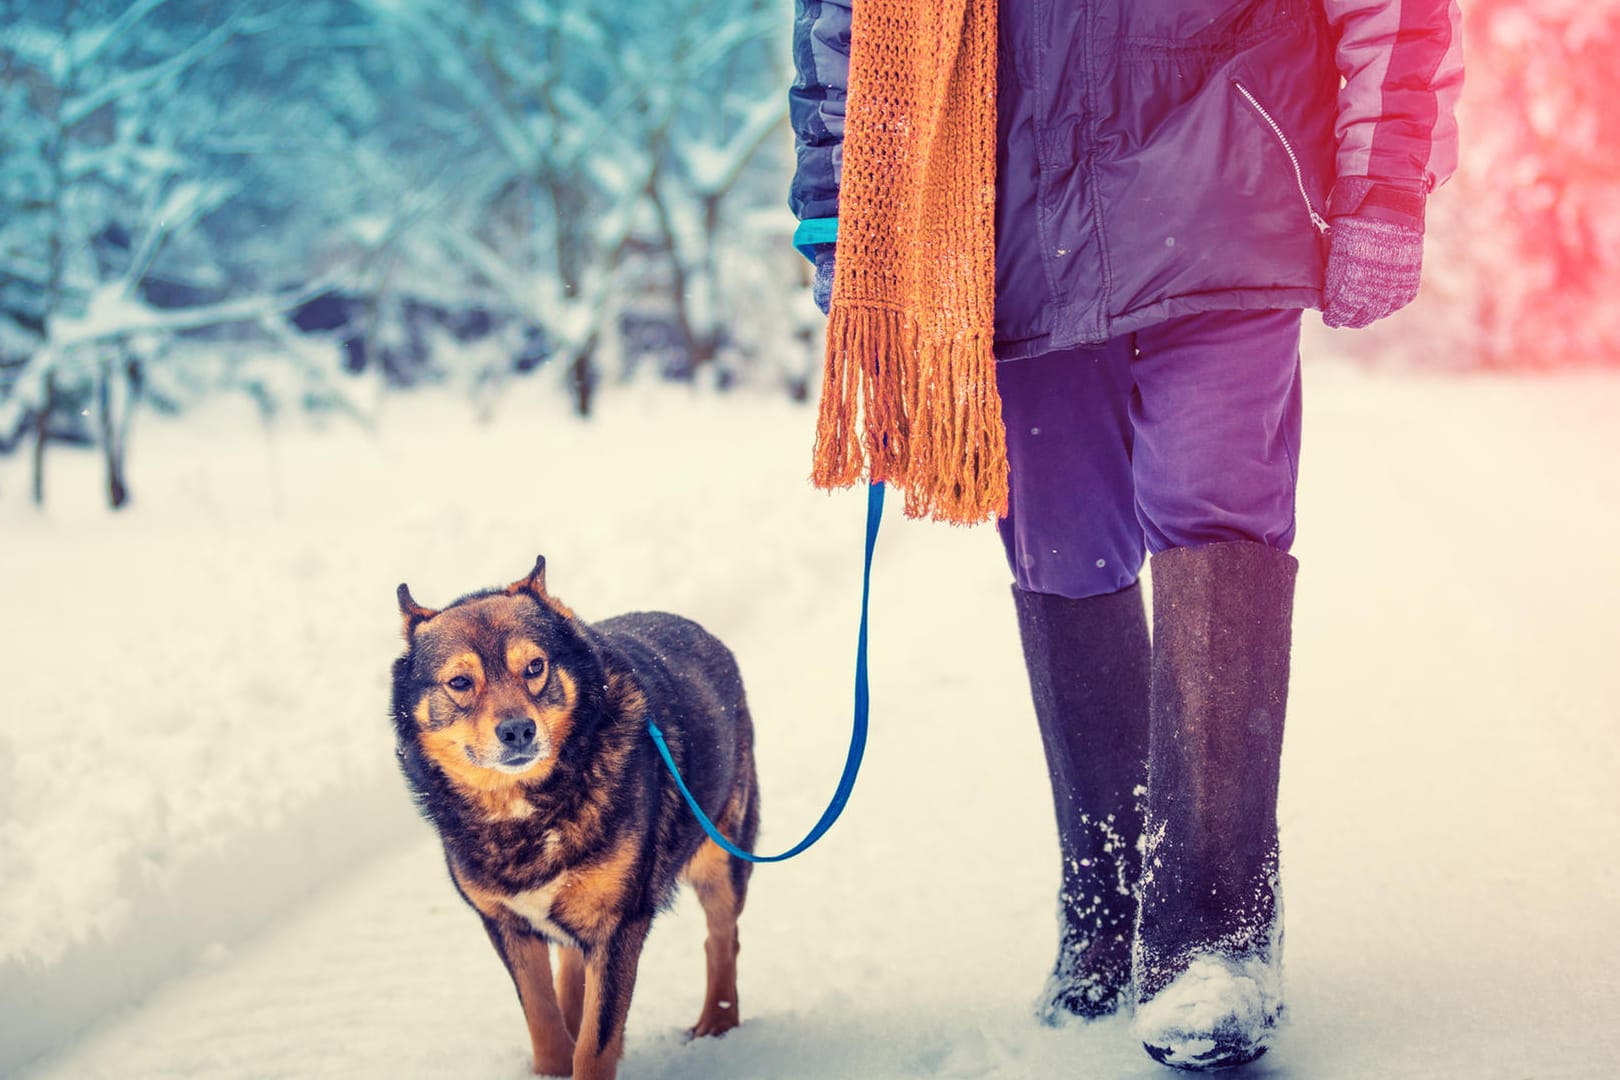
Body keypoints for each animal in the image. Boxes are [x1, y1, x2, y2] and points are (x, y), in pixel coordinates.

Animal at [390, 557, 758, 1080]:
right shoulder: (506, 924)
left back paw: (717, 1022)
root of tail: (697, 629)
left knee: (722, 938)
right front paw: (552, 1063)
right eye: (460, 683)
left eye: (535, 667)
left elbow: (596, 1041)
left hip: (720, 856)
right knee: (570, 968)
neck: (528, 809)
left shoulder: (618, 926)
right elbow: (542, 1016)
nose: (517, 730)